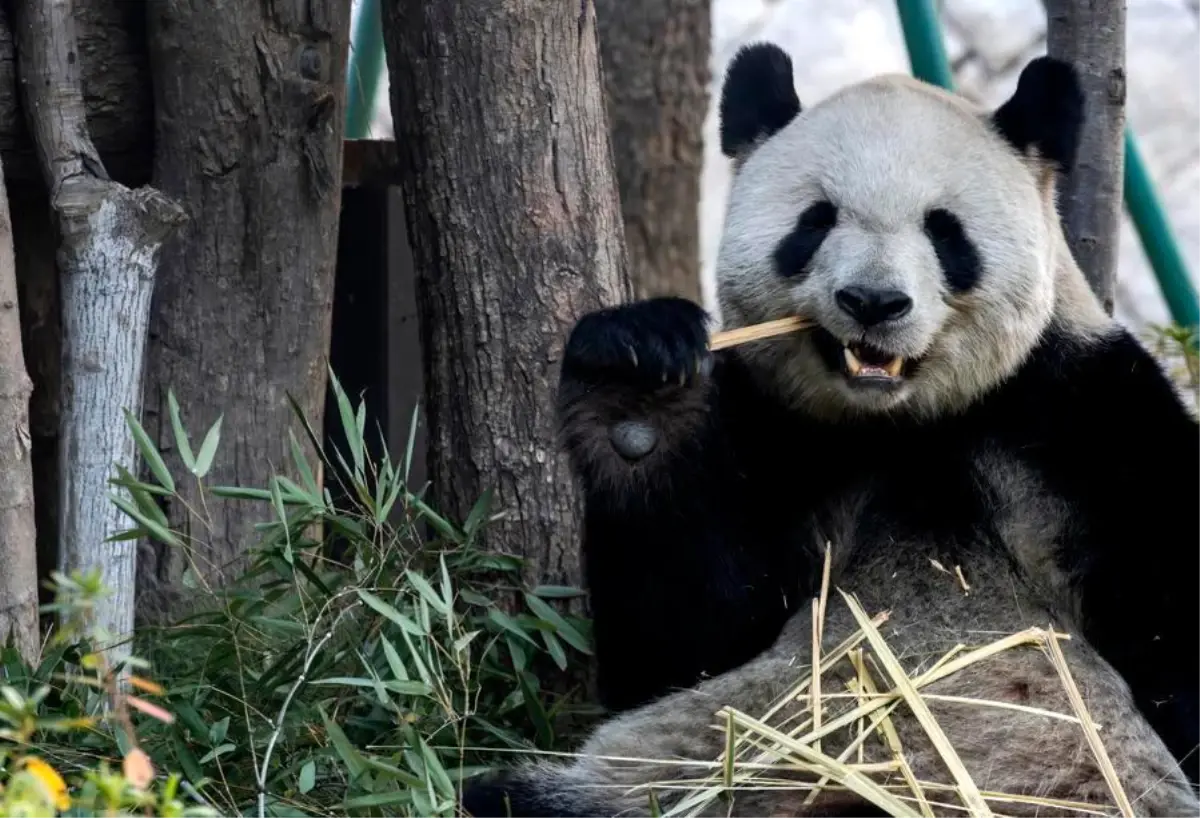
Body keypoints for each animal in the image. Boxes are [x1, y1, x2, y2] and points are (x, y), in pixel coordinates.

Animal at [462, 44, 1200, 817]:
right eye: (815, 221)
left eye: (944, 230)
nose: (873, 301)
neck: (901, 425)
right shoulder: (780, 437)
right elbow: (683, 640)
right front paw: (635, 390)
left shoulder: (1080, 421)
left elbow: (1169, 611)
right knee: (516, 797)